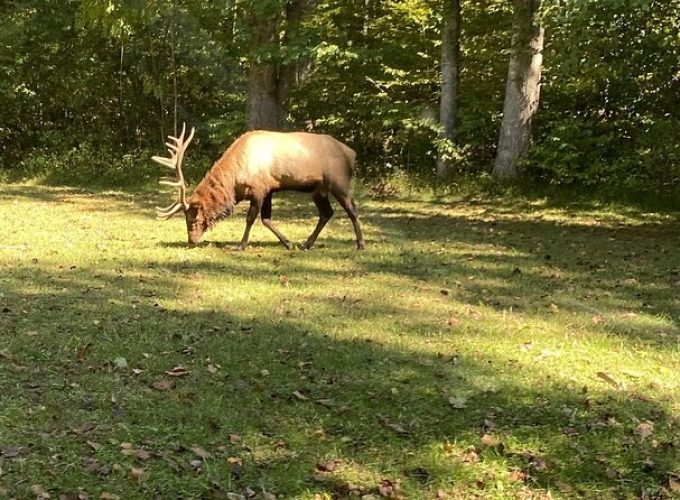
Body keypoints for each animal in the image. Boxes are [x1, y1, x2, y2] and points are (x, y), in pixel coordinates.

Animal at [153, 125, 364, 250]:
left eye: (193, 220)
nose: (191, 241)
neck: (235, 184)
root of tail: (352, 153)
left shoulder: (259, 189)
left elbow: (251, 218)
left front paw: (241, 245)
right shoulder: (269, 189)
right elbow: (266, 219)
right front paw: (288, 243)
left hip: (339, 182)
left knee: (352, 210)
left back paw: (360, 244)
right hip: (318, 189)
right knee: (326, 213)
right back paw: (307, 243)